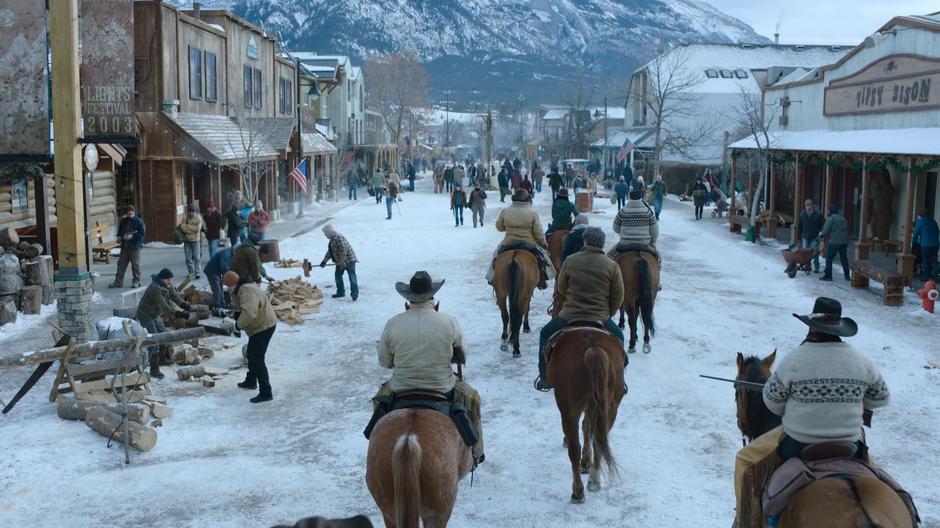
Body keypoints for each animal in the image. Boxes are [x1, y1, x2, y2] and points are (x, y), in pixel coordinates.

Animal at [544, 326, 624, 504]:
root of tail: (593, 348)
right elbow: (588, 426)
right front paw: (586, 461)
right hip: (610, 406)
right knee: (599, 439)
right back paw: (594, 480)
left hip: (569, 409)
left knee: (574, 448)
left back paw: (577, 491)